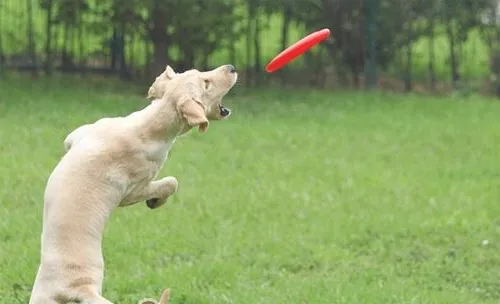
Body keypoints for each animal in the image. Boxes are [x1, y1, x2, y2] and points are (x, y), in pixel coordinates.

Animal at [28, 64, 238, 304]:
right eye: (206, 83)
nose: (231, 68)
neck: (151, 125)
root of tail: (78, 289)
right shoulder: (133, 191)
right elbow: (171, 182)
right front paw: (156, 201)